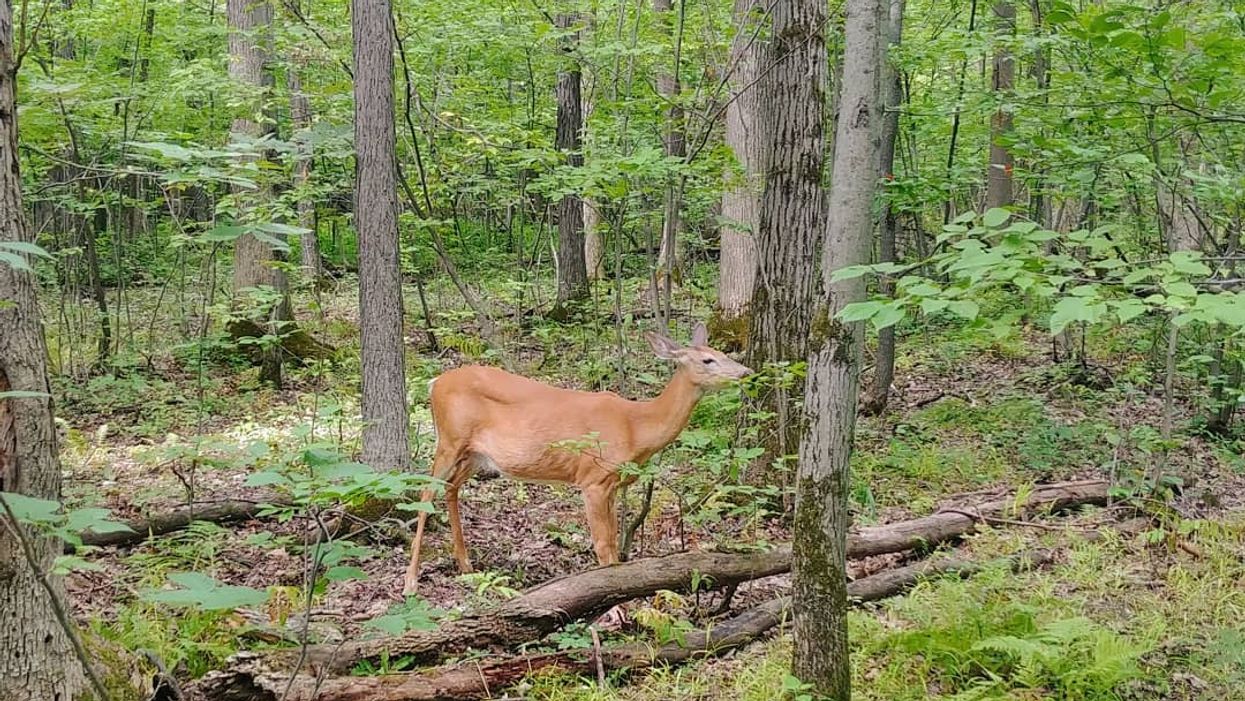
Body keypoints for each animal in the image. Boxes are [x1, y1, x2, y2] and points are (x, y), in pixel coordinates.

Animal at [402, 322, 752, 595]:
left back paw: (465, 564)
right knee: (425, 494)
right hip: (449, 440)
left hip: (475, 454)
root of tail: (435, 383)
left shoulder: (611, 484)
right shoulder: (593, 478)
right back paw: (411, 582)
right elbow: (603, 548)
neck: (636, 427)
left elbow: (613, 547)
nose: (747, 372)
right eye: (708, 359)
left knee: (450, 488)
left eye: (722, 354)